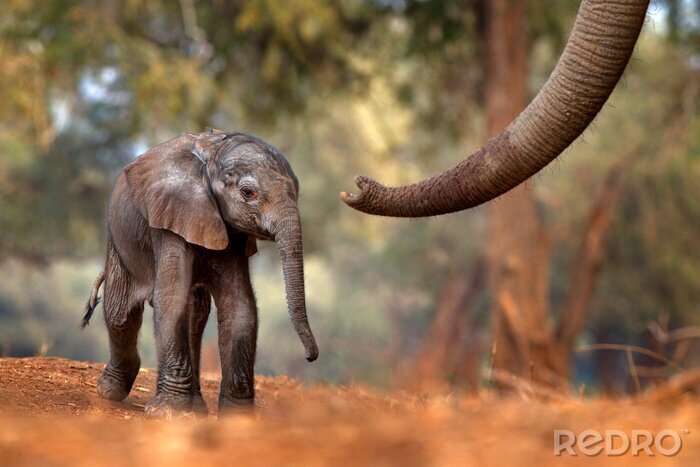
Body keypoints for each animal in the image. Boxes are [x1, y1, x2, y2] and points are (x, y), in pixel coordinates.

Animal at [82, 129, 318, 417]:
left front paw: (237, 417)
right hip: (119, 236)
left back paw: (196, 408)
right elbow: (171, 299)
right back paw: (109, 391)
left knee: (195, 314)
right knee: (120, 311)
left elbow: (239, 306)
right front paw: (165, 413)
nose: (310, 357)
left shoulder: (233, 235)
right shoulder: (169, 219)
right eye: (248, 192)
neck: (212, 159)